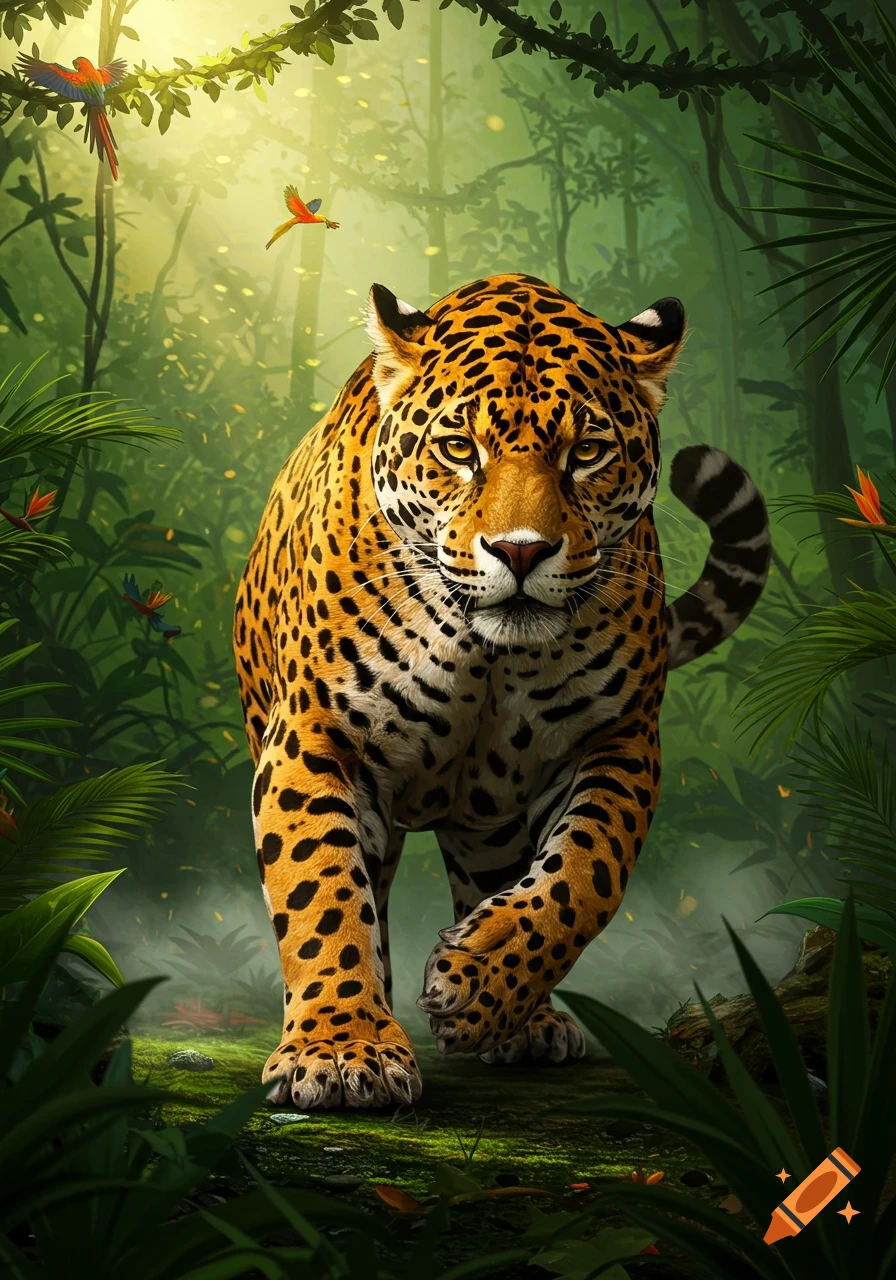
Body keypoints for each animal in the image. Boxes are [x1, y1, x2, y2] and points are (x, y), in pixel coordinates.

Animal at [233, 273, 771, 1110]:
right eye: (460, 450)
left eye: (586, 453)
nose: (521, 552)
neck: (485, 651)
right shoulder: (316, 738)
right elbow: (320, 893)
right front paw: (343, 1050)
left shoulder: (616, 738)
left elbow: (584, 876)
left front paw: (475, 985)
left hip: (489, 817)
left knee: (501, 874)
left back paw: (523, 1020)